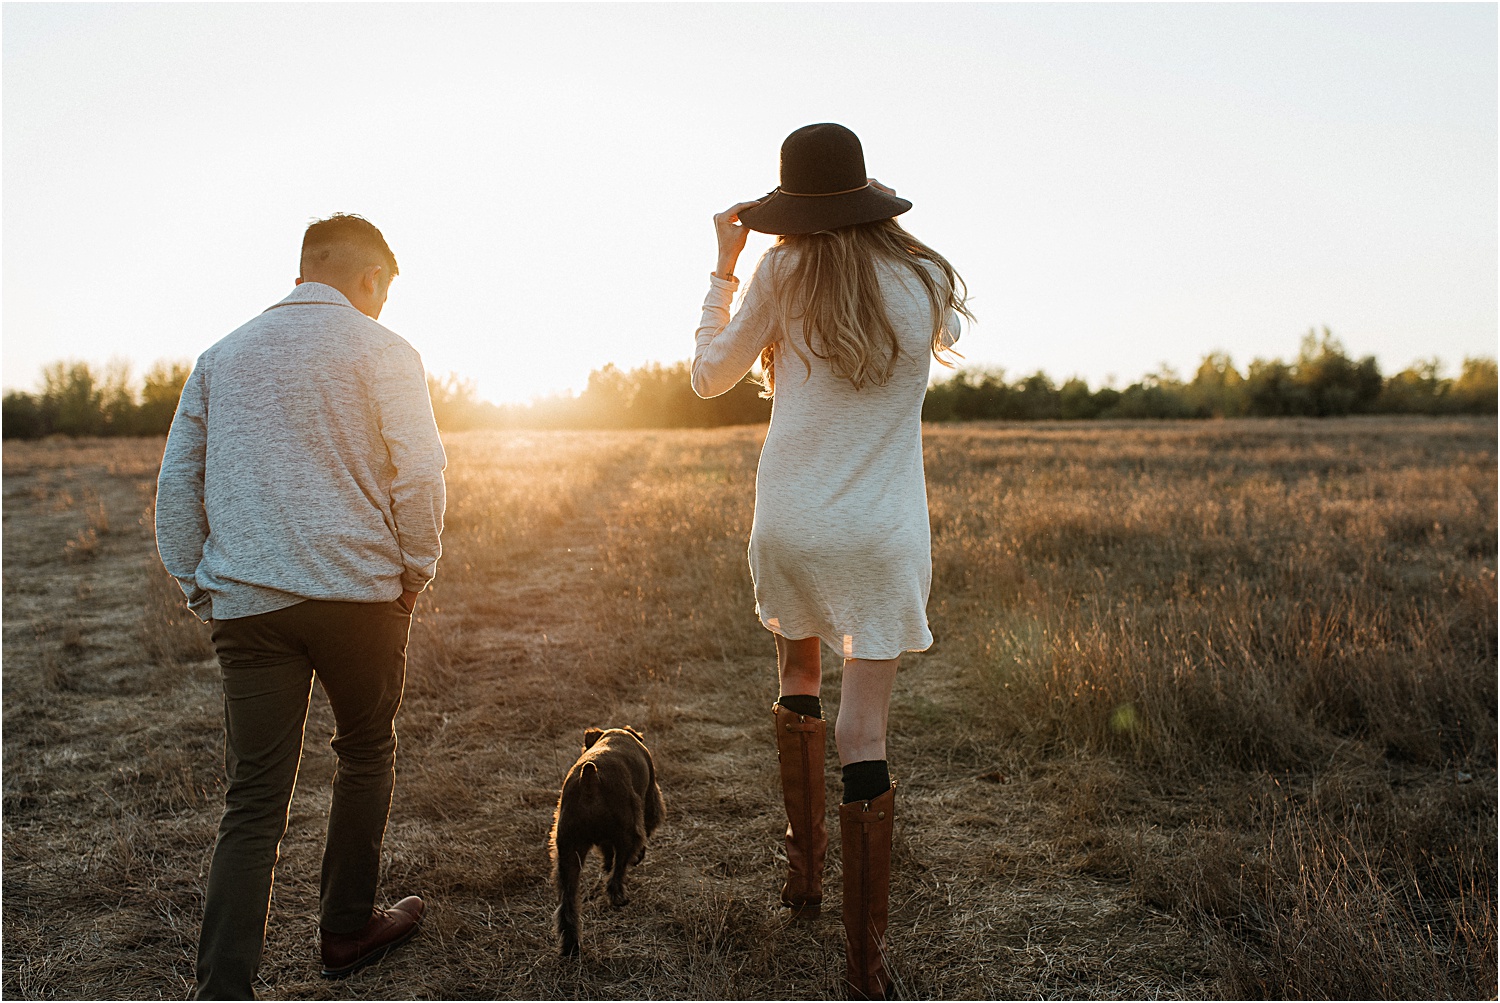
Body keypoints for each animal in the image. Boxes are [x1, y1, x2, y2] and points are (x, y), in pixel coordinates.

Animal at [549, 722, 666, 953]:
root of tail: (590, 779)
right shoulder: (650, 799)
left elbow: (606, 851)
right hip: (627, 835)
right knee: (617, 874)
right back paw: (619, 898)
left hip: (568, 853)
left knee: (567, 904)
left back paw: (571, 945)